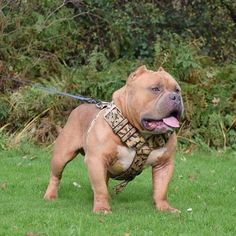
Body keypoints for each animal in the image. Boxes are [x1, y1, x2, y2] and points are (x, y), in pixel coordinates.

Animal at [44, 65, 184, 214]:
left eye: (177, 90)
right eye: (155, 89)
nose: (176, 97)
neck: (143, 133)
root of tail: (79, 108)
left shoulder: (164, 164)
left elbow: (161, 189)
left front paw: (164, 207)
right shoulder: (96, 160)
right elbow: (100, 188)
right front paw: (102, 209)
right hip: (61, 157)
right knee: (56, 176)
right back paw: (50, 195)